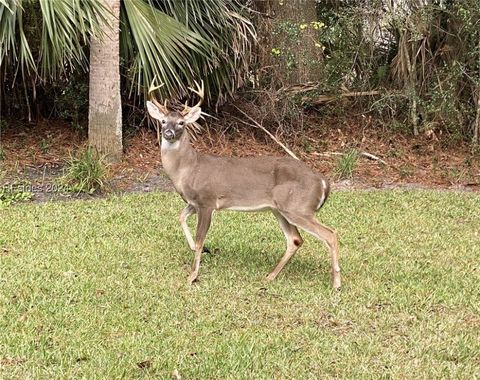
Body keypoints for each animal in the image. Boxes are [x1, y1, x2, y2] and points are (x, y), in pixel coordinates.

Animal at [146, 81, 342, 290]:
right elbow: (180, 217)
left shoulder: (207, 201)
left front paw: (192, 276)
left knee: (330, 234)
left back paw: (336, 284)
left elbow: (200, 239)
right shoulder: (193, 202)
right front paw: (195, 250)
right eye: (163, 121)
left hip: (299, 208)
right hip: (280, 209)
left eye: (181, 123)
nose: (168, 133)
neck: (188, 168)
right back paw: (269, 276)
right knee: (295, 240)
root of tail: (323, 182)